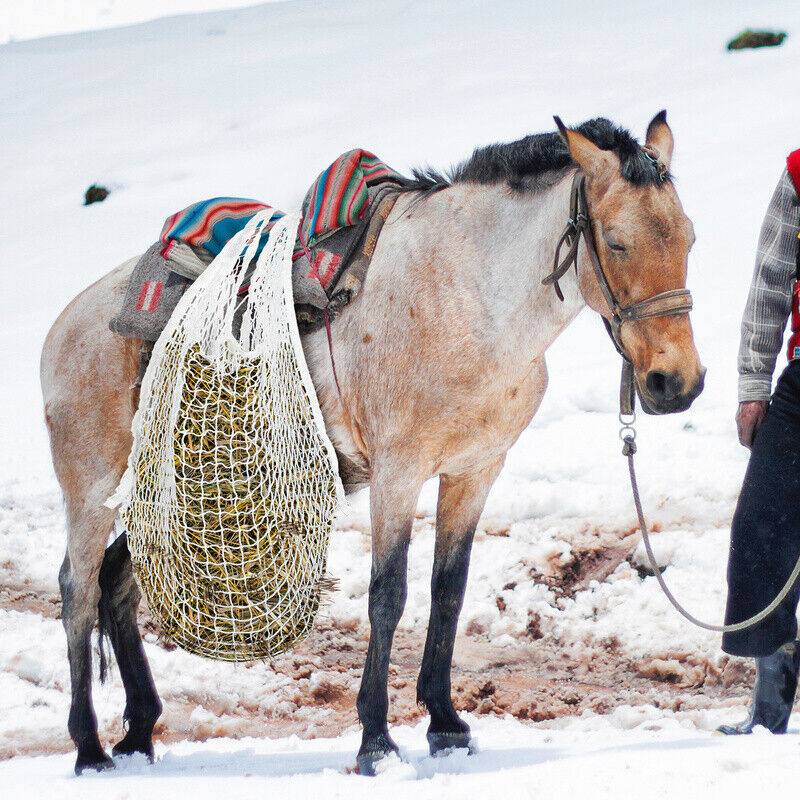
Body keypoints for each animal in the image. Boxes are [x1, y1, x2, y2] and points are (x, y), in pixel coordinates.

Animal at [42, 112, 708, 776]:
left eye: (689, 239)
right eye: (616, 242)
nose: (676, 383)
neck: (471, 300)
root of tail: (65, 325)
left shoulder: (475, 470)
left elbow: (448, 590)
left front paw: (446, 724)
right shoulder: (398, 472)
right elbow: (389, 594)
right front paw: (377, 742)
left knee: (117, 582)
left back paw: (138, 733)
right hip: (95, 484)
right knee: (77, 589)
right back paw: (90, 748)